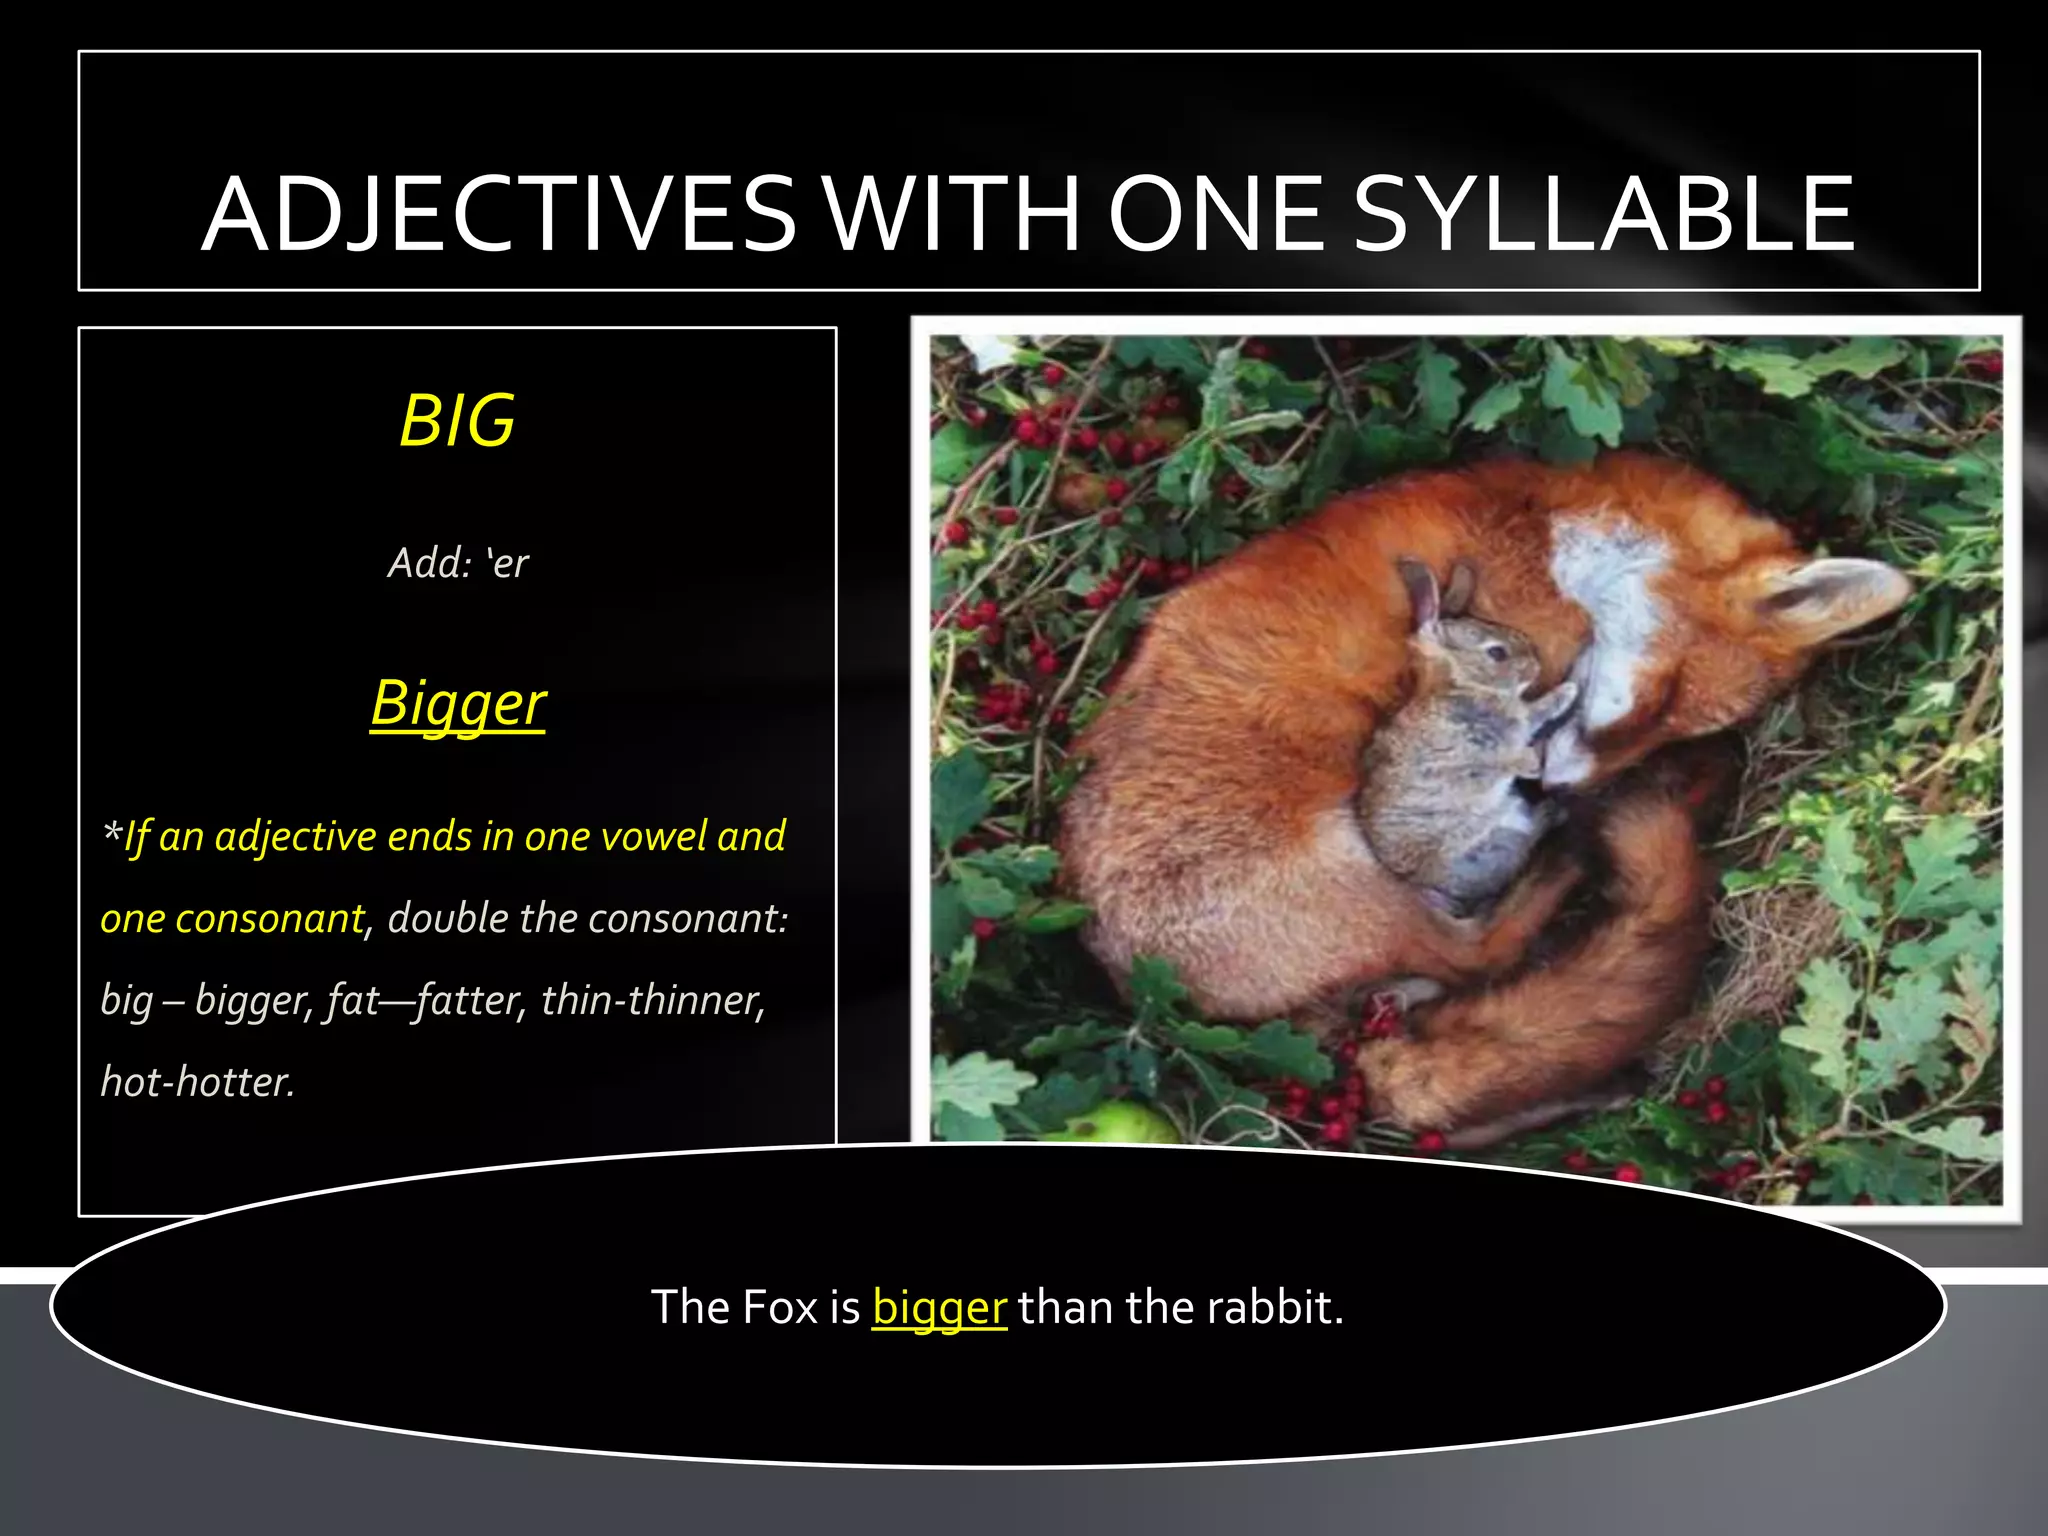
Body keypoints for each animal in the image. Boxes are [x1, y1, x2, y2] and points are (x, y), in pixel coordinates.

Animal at [1356, 557, 1580, 916]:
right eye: (1497, 654)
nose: (1535, 666)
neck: (1464, 684)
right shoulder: (1483, 745)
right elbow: (1527, 724)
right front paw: (1567, 692)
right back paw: (1553, 809)